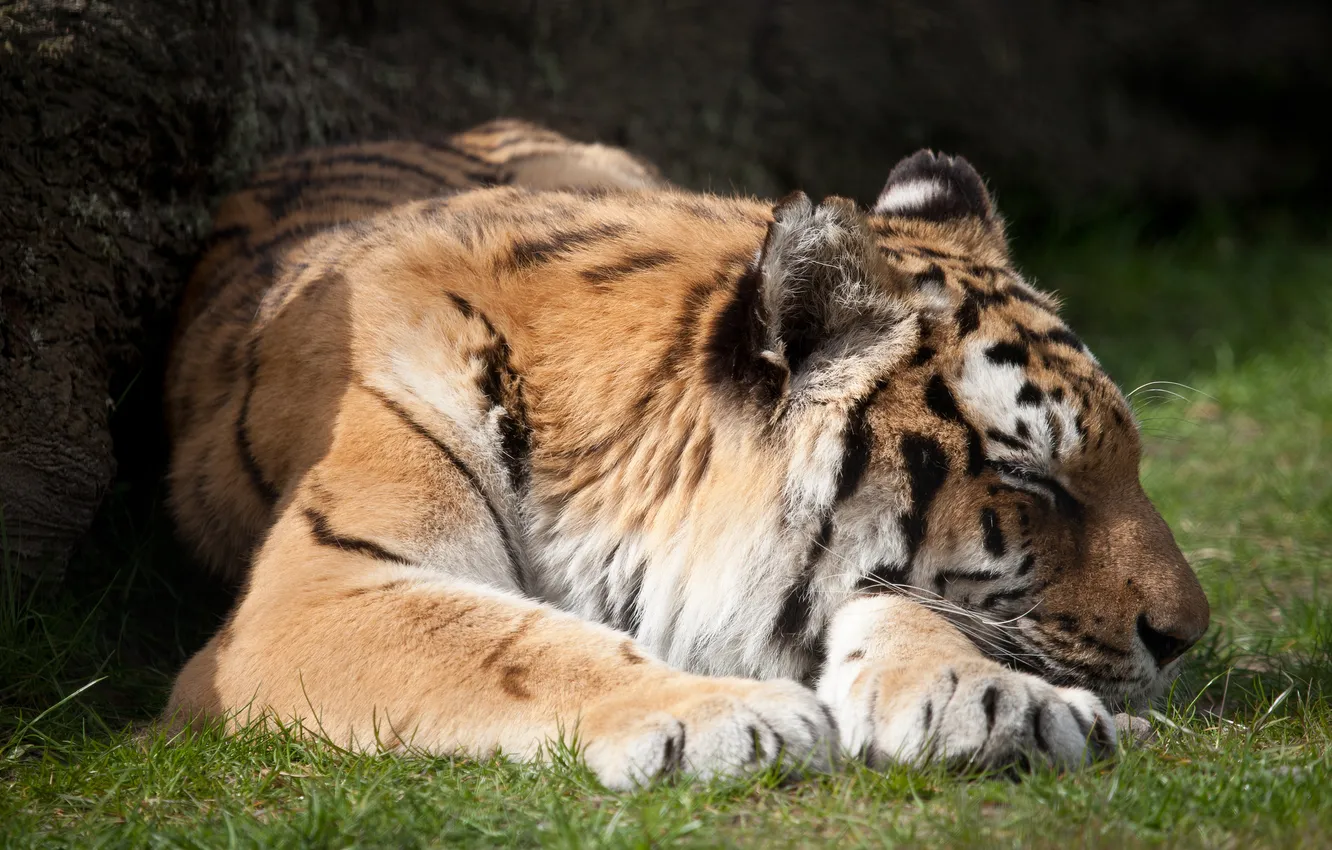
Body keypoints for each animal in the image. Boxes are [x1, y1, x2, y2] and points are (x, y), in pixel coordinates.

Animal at [163, 119, 1209, 788]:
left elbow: (914, 606)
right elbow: (512, 643)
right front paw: (721, 715)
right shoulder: (317, 591)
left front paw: (1000, 701)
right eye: (1030, 476)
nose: (1188, 636)